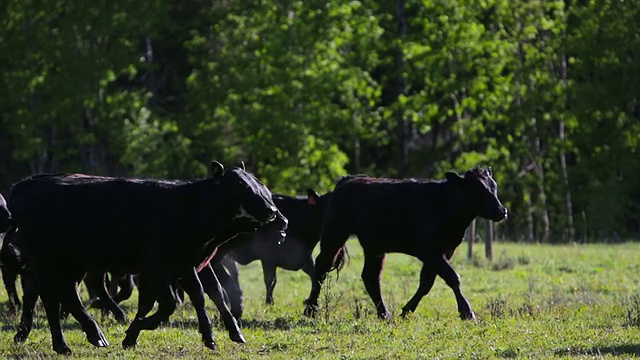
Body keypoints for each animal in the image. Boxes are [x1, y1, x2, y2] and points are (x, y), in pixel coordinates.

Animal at [7, 162, 286, 354]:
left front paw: (214, 336)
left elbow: (201, 295)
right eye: (241, 186)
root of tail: (25, 184)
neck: (188, 208)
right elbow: (168, 304)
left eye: (259, 184)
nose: (273, 211)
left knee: (63, 295)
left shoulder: (185, 266)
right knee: (51, 297)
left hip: (70, 264)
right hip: (50, 261)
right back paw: (71, 341)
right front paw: (137, 328)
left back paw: (82, 336)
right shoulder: (157, 270)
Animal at [302, 168, 508, 320]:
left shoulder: (443, 251)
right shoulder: (429, 250)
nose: (502, 210)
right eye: (479, 190)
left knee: (370, 277)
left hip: (374, 245)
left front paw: (407, 310)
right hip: (334, 232)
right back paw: (310, 310)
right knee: (321, 267)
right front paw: (467, 312)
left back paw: (384, 314)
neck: (446, 205)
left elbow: (427, 283)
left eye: (494, 187)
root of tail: (347, 180)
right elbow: (452, 277)